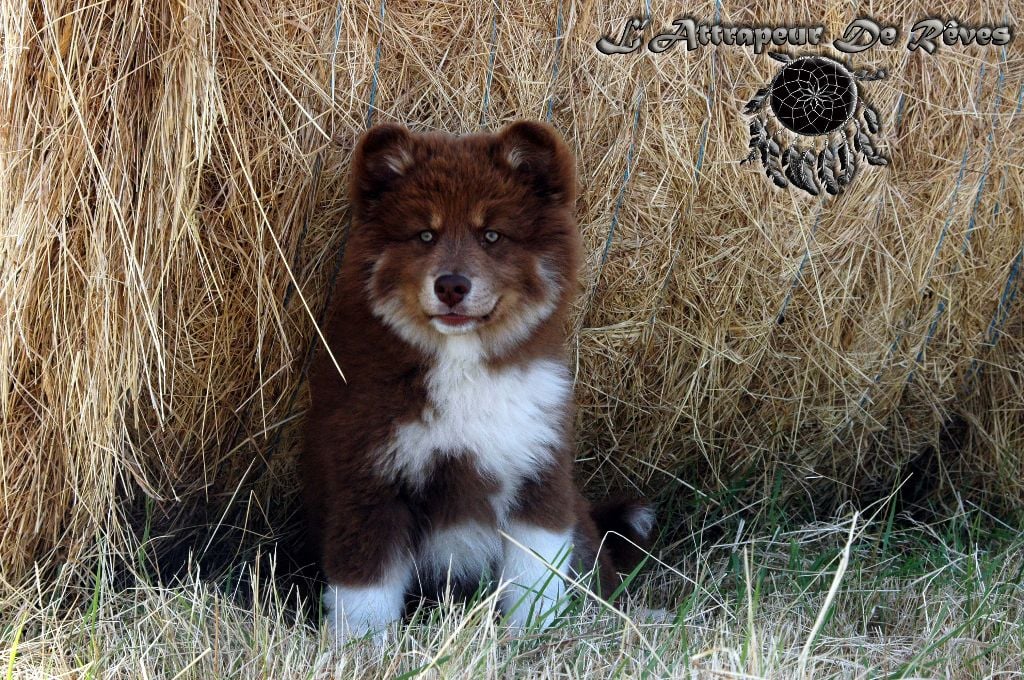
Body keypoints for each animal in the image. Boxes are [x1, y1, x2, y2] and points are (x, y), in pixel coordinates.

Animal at [300, 120, 654, 643]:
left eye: (491, 235)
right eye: (425, 234)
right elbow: (366, 591)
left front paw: (533, 638)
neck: (462, 366)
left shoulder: (538, 472)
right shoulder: (369, 478)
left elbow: (534, 578)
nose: (451, 286)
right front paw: (361, 647)